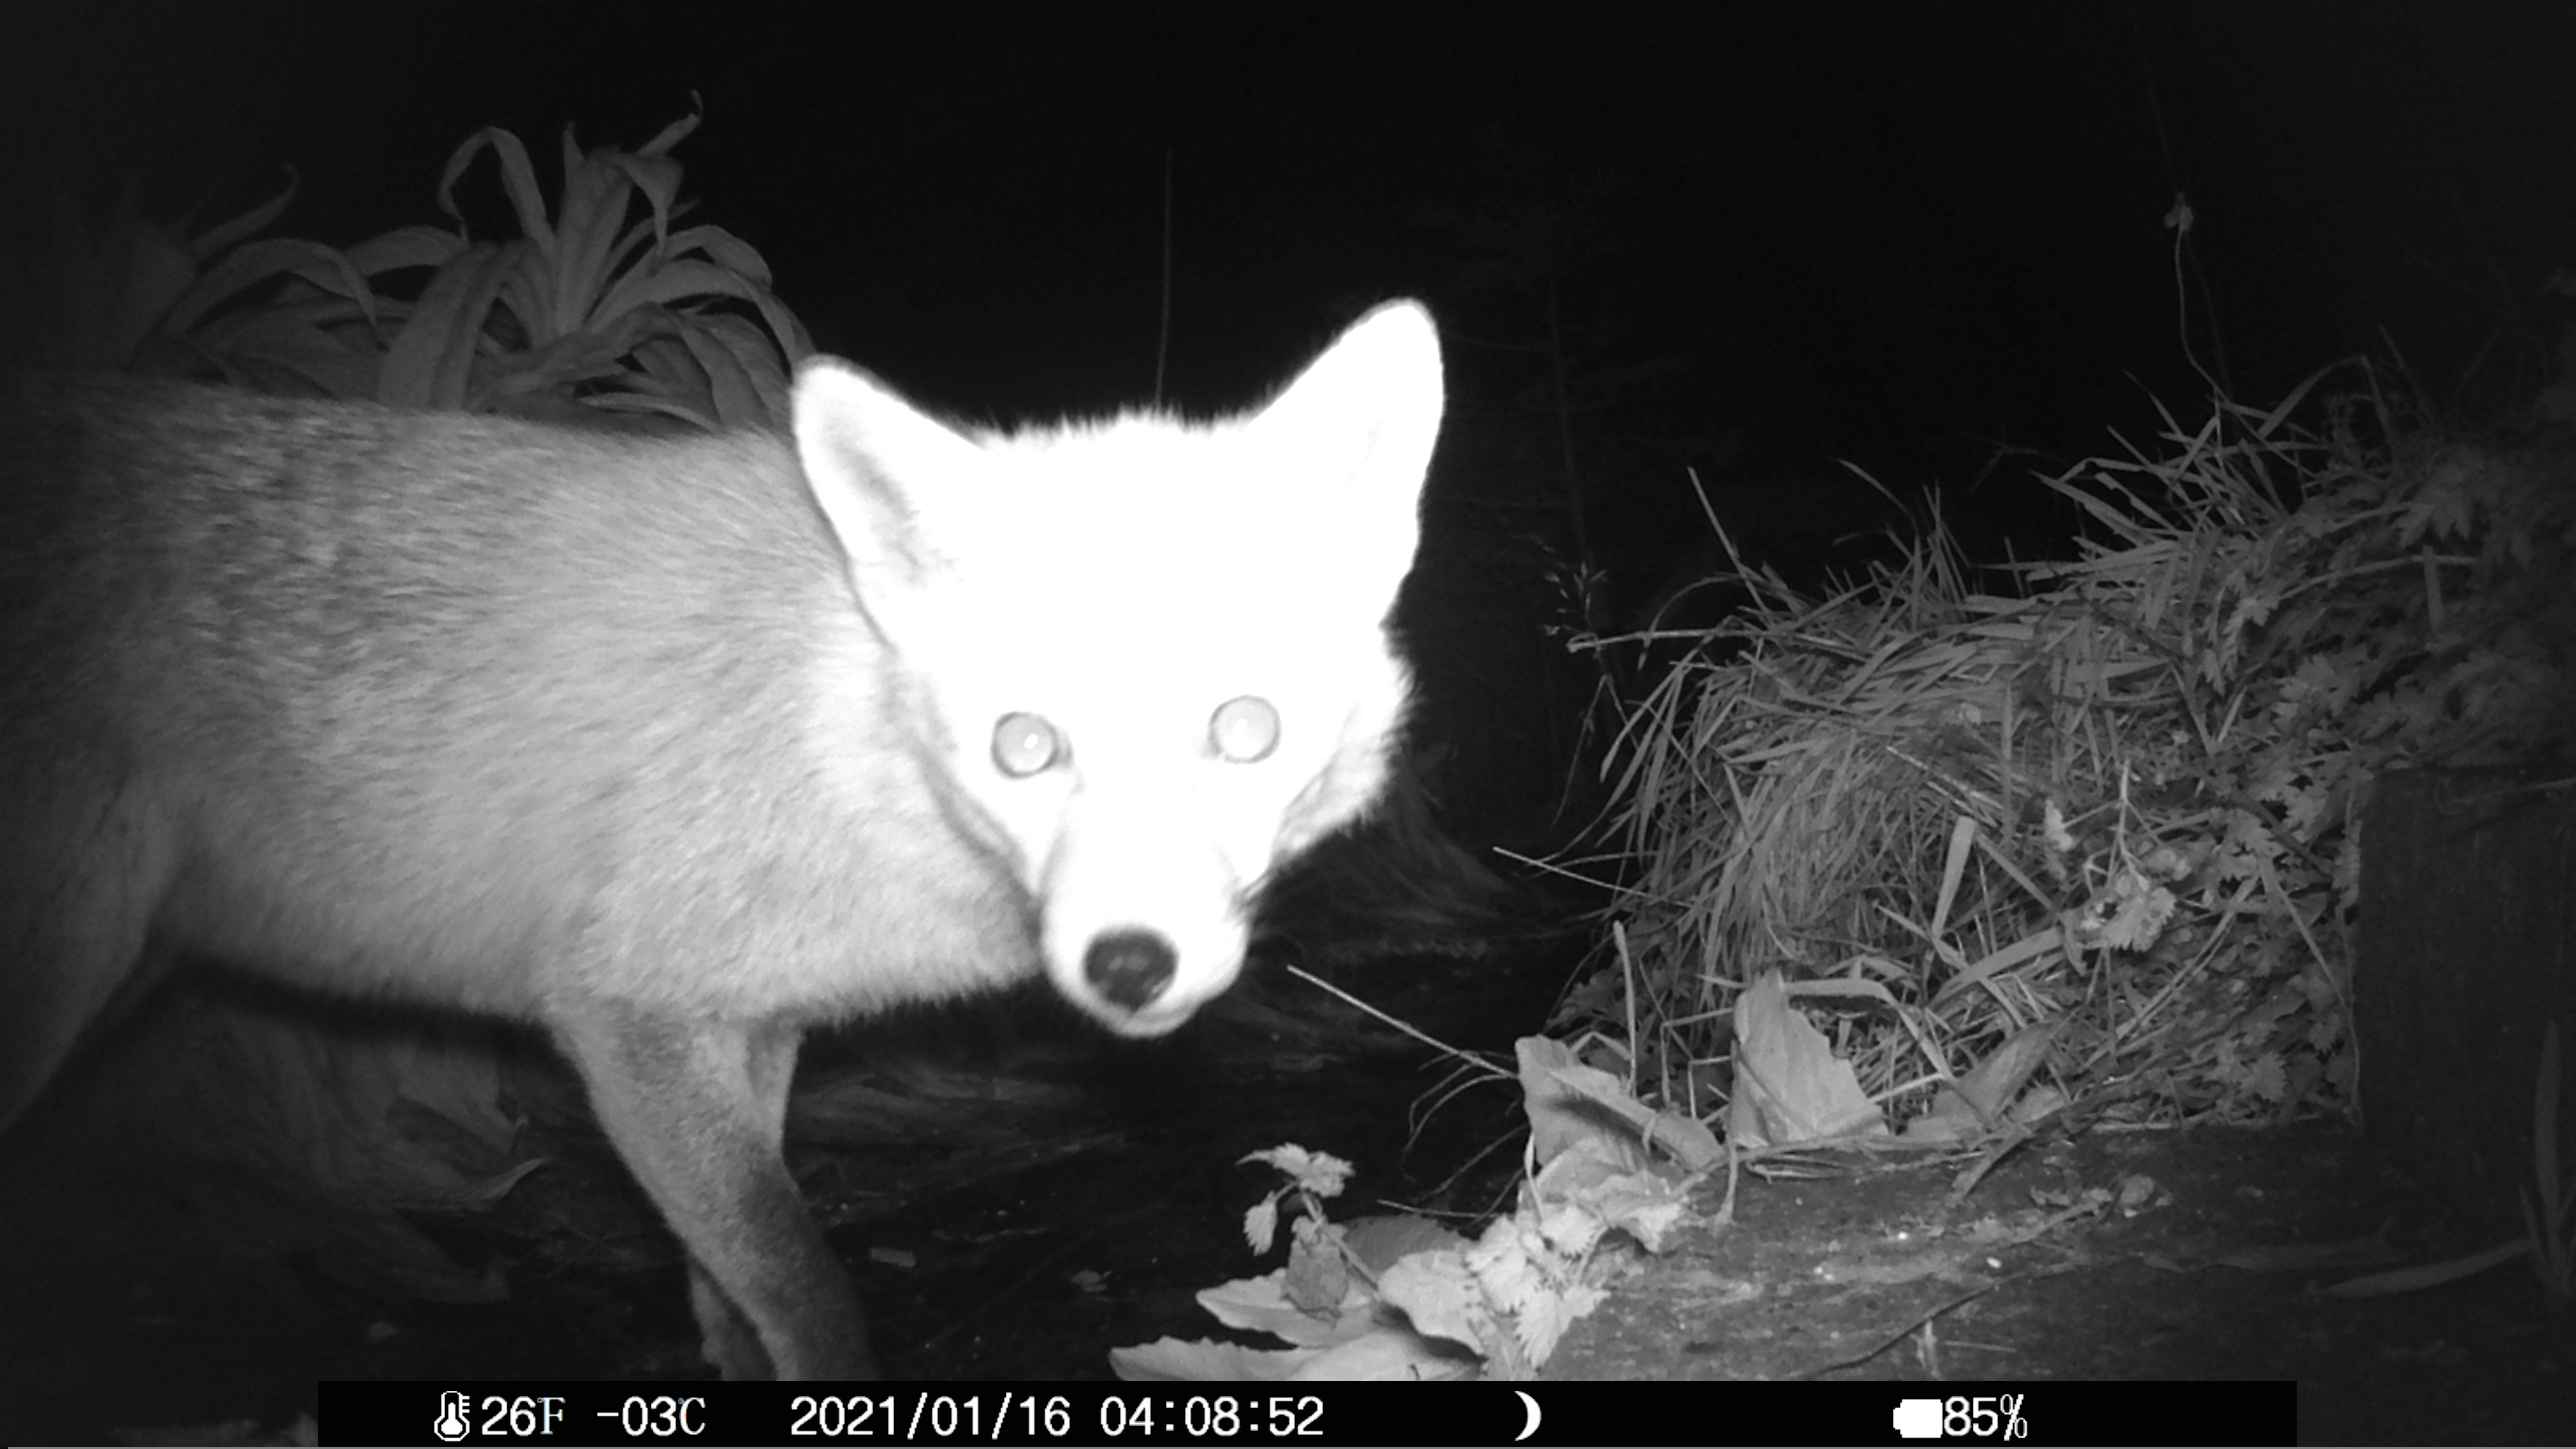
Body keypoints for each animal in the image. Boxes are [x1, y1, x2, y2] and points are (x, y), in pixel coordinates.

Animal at [0, 300, 1444, 1380]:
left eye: (1243, 729)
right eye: (1024, 746)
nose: (1129, 962)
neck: (839, 742)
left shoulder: (743, 1025)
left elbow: (721, 1293)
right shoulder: (621, 1013)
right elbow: (802, 1291)